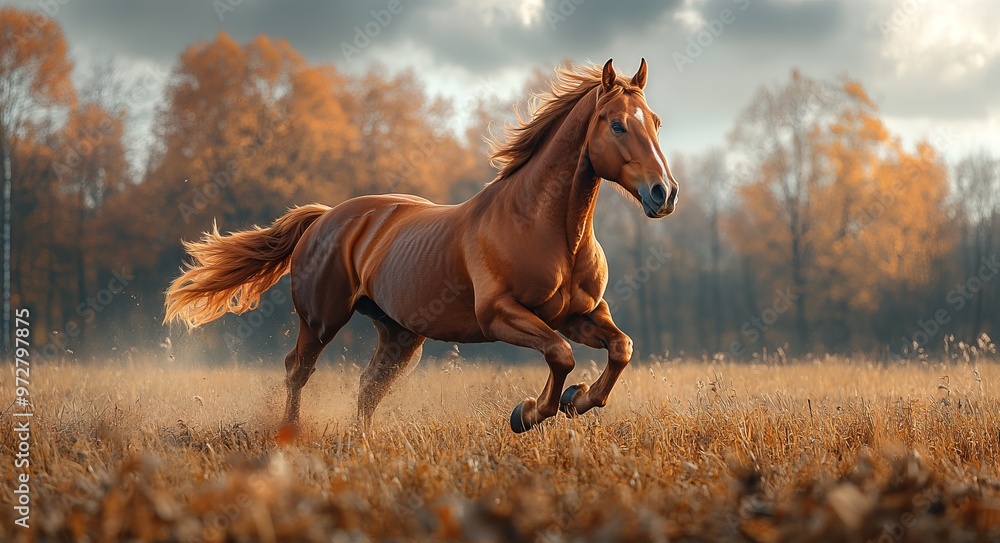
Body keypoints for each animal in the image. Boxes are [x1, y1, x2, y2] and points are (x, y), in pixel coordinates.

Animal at [164, 58, 679, 433]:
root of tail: (324, 217)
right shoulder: (500, 315)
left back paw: (364, 442)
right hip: (321, 319)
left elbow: (621, 348)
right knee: (297, 370)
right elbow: (561, 355)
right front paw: (527, 413)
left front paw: (579, 400)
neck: (545, 228)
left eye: (655, 121)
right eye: (616, 125)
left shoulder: (580, 313)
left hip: (400, 334)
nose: (664, 193)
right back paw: (290, 433)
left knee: (368, 385)